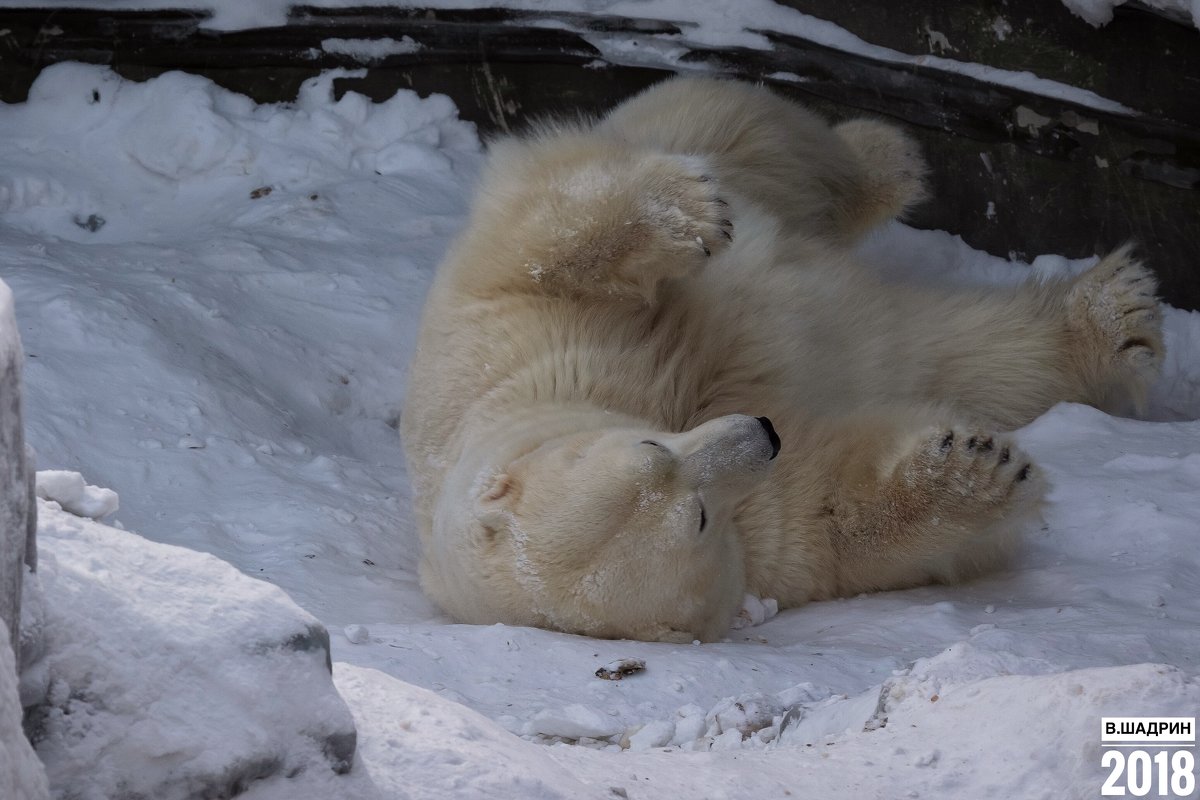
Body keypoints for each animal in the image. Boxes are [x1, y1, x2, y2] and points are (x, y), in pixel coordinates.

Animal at [400, 77, 1161, 642]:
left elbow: (539, 237)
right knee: (955, 350)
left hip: (700, 141)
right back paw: (1115, 324)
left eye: (649, 447)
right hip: (901, 344)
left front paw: (687, 214)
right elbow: (830, 513)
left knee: (751, 130)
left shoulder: (501, 341)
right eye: (697, 518)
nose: (761, 429)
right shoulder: (758, 541)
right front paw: (979, 470)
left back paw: (881, 159)